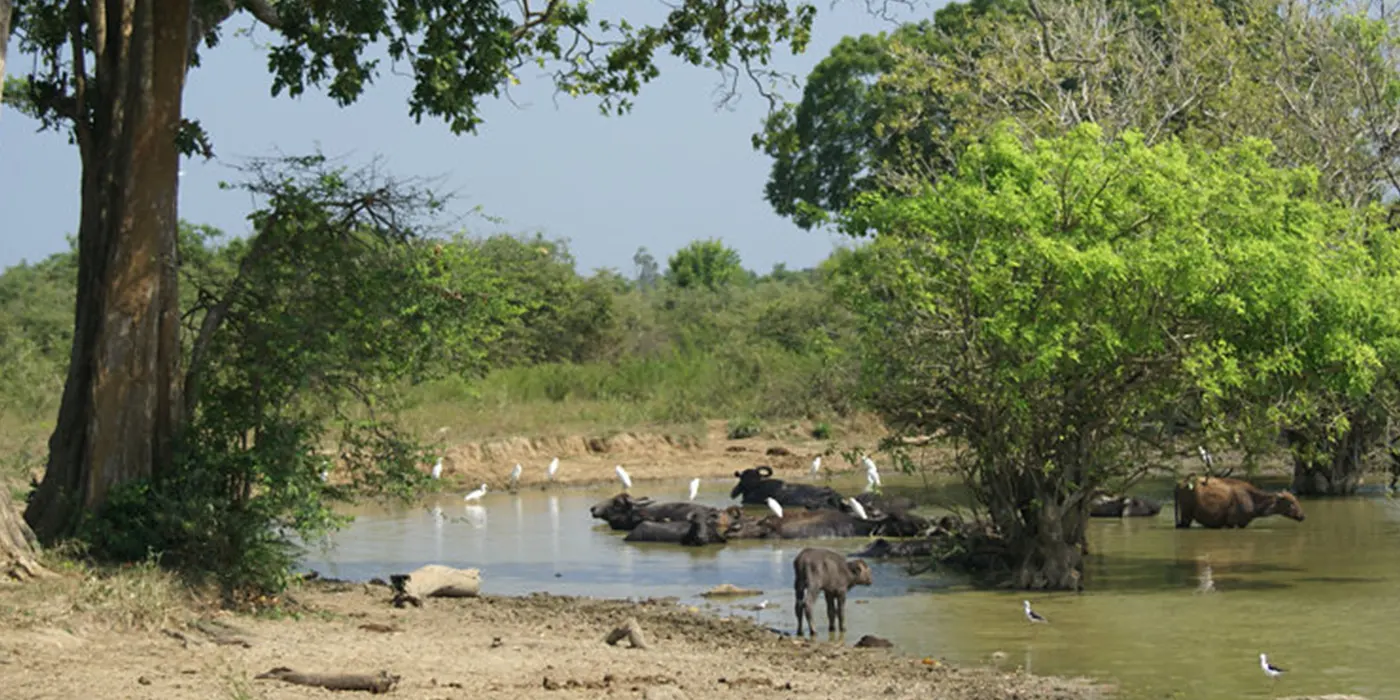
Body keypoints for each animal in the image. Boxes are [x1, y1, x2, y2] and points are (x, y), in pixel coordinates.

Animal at [1176, 473, 1304, 526]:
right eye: (1291, 503)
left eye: (1296, 500)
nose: (1302, 515)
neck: (1255, 504)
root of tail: (1179, 484)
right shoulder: (1232, 522)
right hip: (1186, 514)